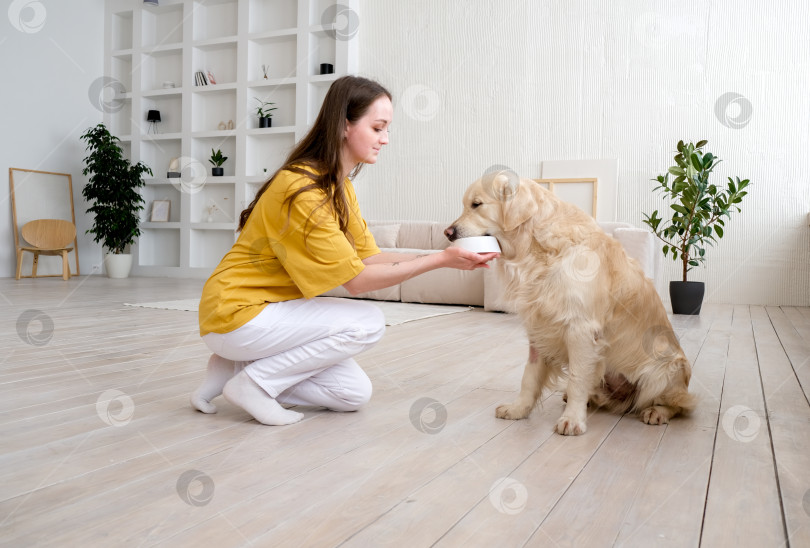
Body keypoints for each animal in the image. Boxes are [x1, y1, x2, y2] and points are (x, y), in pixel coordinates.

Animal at [442, 173, 696, 434]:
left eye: (476, 204)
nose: (447, 232)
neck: (539, 247)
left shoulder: (580, 328)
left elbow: (576, 379)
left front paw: (572, 420)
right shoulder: (538, 328)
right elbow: (529, 376)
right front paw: (518, 409)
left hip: (666, 369)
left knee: (680, 404)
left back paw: (657, 412)